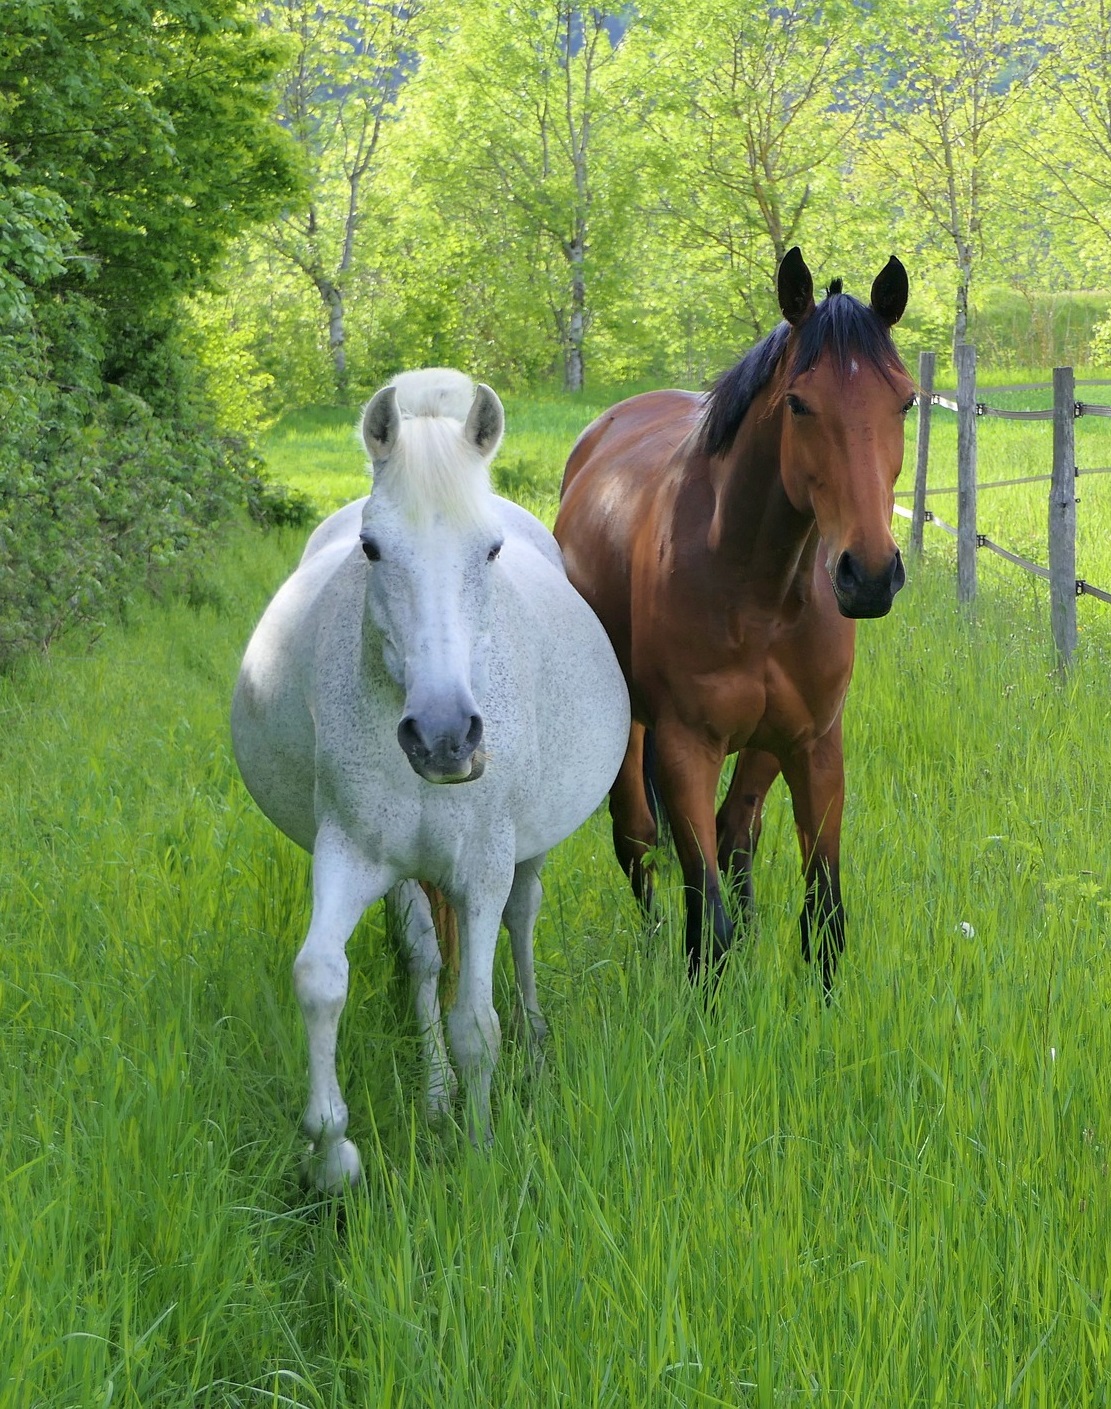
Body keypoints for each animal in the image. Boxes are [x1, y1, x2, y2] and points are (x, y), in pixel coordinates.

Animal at [229, 371, 628, 1189]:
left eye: (491, 549)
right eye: (372, 547)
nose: (444, 736)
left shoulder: (482, 868)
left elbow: (476, 1021)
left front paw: (479, 1151)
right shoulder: (349, 853)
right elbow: (323, 977)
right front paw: (334, 1152)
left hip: (525, 855)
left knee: (522, 921)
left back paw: (536, 1037)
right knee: (422, 958)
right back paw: (437, 1091)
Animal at [554, 247, 912, 986]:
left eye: (906, 400)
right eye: (799, 403)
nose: (867, 574)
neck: (756, 586)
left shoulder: (812, 743)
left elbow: (824, 917)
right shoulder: (685, 746)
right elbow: (707, 923)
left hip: (764, 743)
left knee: (736, 830)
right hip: (633, 729)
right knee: (638, 839)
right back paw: (652, 948)